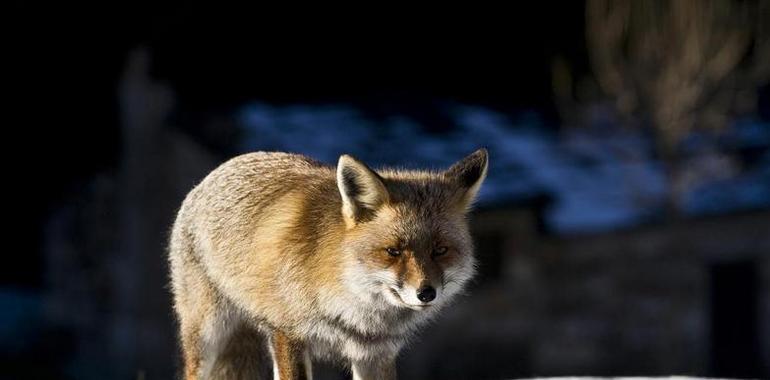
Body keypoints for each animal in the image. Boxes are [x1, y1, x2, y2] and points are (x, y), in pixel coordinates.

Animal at [170, 148, 486, 378]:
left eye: (440, 250)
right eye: (393, 251)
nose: (426, 293)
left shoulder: (375, 354)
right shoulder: (287, 334)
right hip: (207, 335)